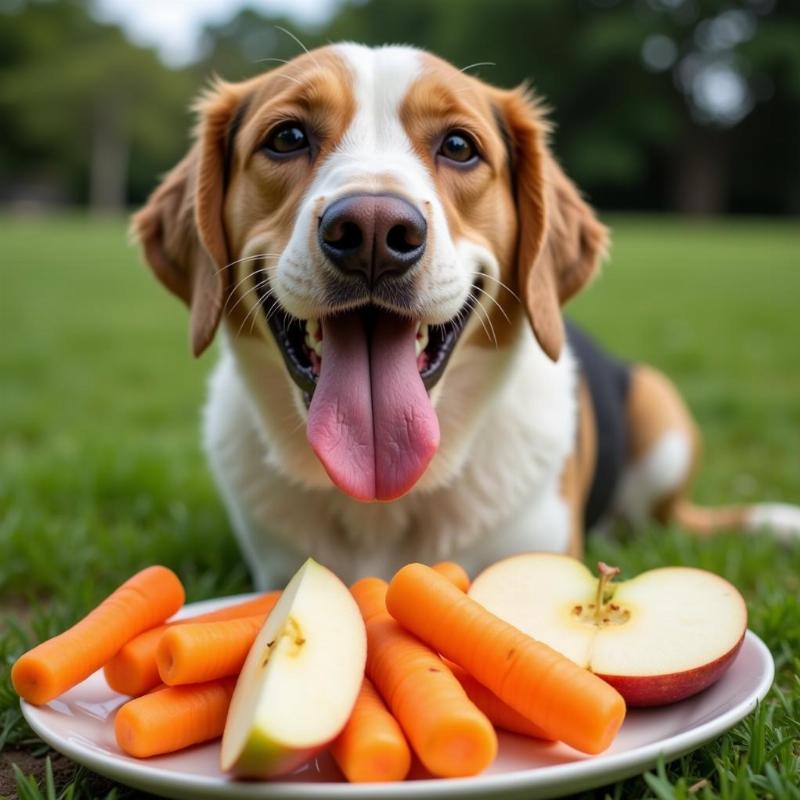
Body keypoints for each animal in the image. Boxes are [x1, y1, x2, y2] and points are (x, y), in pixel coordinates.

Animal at [133, 43, 800, 592]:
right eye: (287, 137)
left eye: (458, 146)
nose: (373, 231)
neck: (385, 495)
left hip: (663, 421)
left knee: (672, 520)